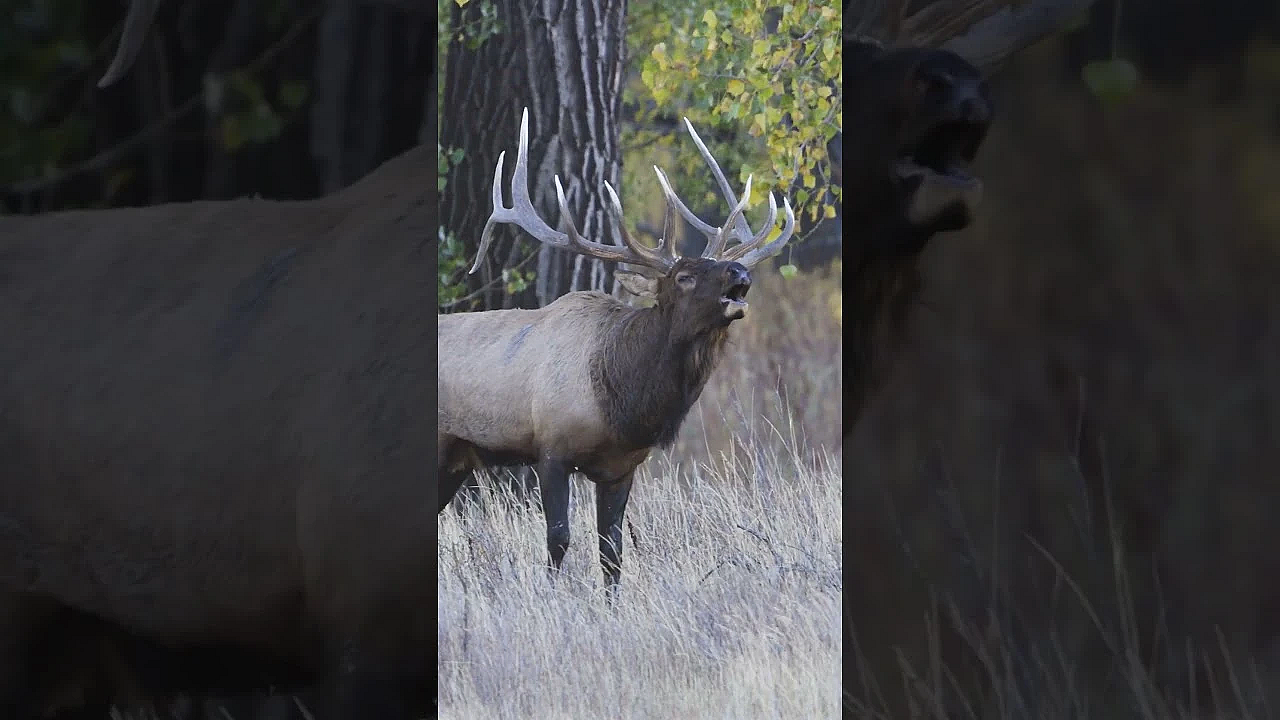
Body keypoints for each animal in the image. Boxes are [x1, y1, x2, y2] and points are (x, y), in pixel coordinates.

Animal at [437, 108, 796, 592]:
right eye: (683, 276)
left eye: (722, 265)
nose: (741, 272)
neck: (621, 401)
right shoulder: (551, 448)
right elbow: (559, 539)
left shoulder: (622, 467)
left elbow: (613, 552)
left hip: (456, 460)